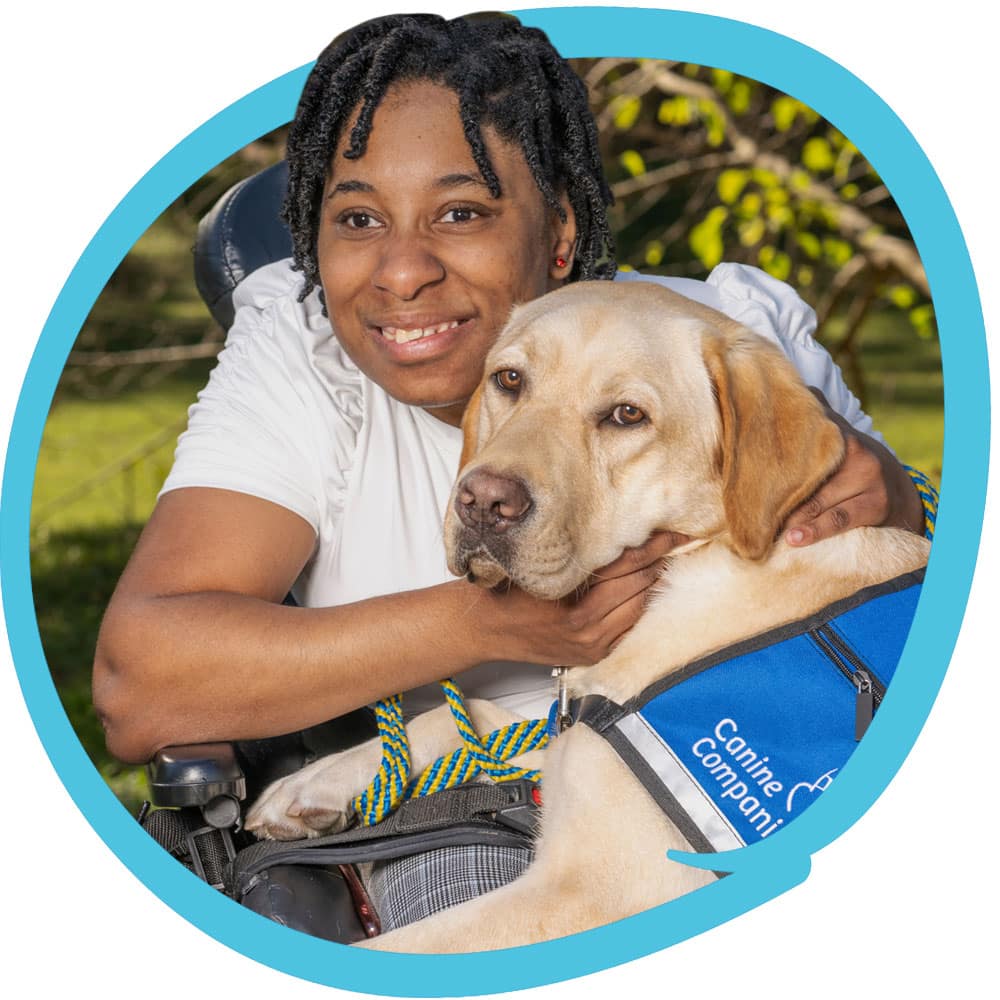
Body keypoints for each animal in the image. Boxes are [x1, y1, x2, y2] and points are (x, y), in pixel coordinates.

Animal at [244, 282, 928, 952]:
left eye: (627, 415)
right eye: (510, 380)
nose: (482, 502)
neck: (693, 562)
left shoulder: (587, 892)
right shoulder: (566, 740)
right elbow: (470, 715)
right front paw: (310, 786)